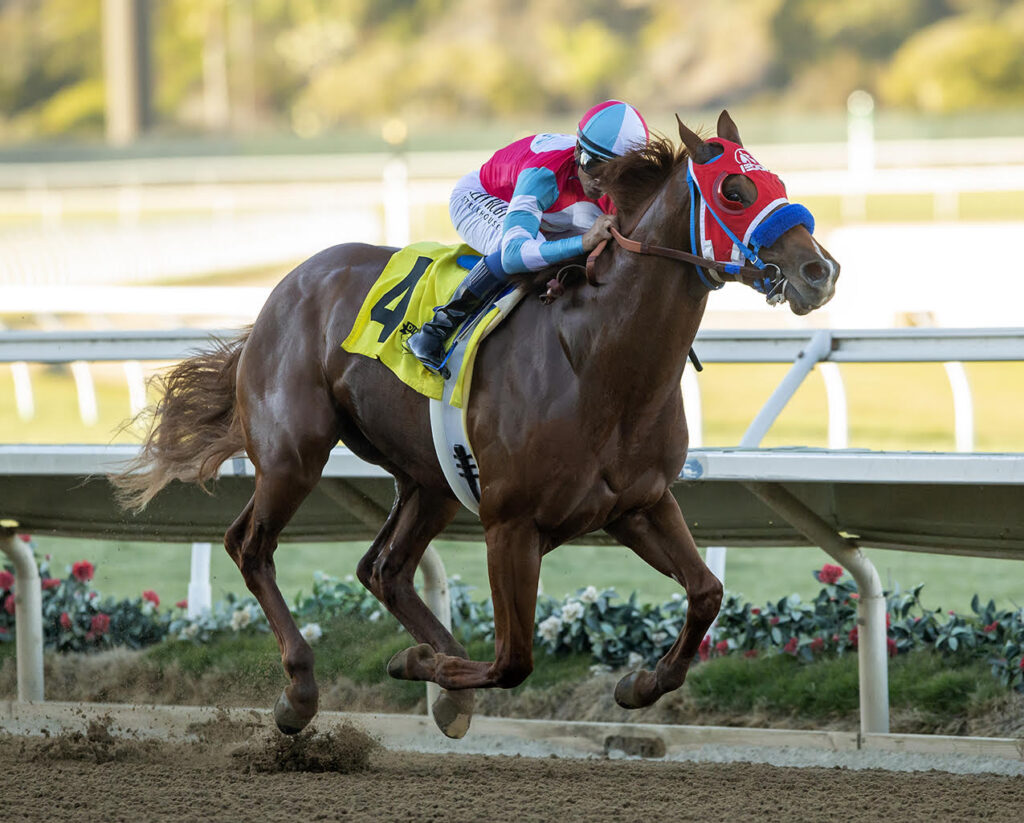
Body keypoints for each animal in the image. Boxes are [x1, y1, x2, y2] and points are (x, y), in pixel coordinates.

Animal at [114, 111, 839, 739]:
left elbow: (707, 592)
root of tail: (285, 287)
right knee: (250, 545)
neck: (599, 359)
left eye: (776, 182)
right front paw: (424, 667)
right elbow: (514, 660)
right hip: (294, 455)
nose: (820, 271)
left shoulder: (639, 502)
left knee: (383, 568)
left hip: (430, 480)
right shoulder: (510, 524)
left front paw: (640, 684)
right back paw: (302, 692)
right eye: (735, 191)